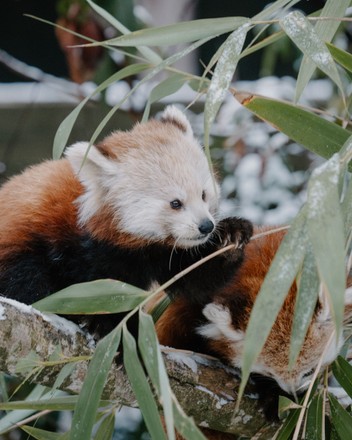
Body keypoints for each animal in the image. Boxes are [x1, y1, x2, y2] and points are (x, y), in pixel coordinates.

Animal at [0, 105, 253, 334]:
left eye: (203, 194)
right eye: (175, 203)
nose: (206, 226)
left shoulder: (155, 254)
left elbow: (191, 277)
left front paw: (231, 235)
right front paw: (101, 323)